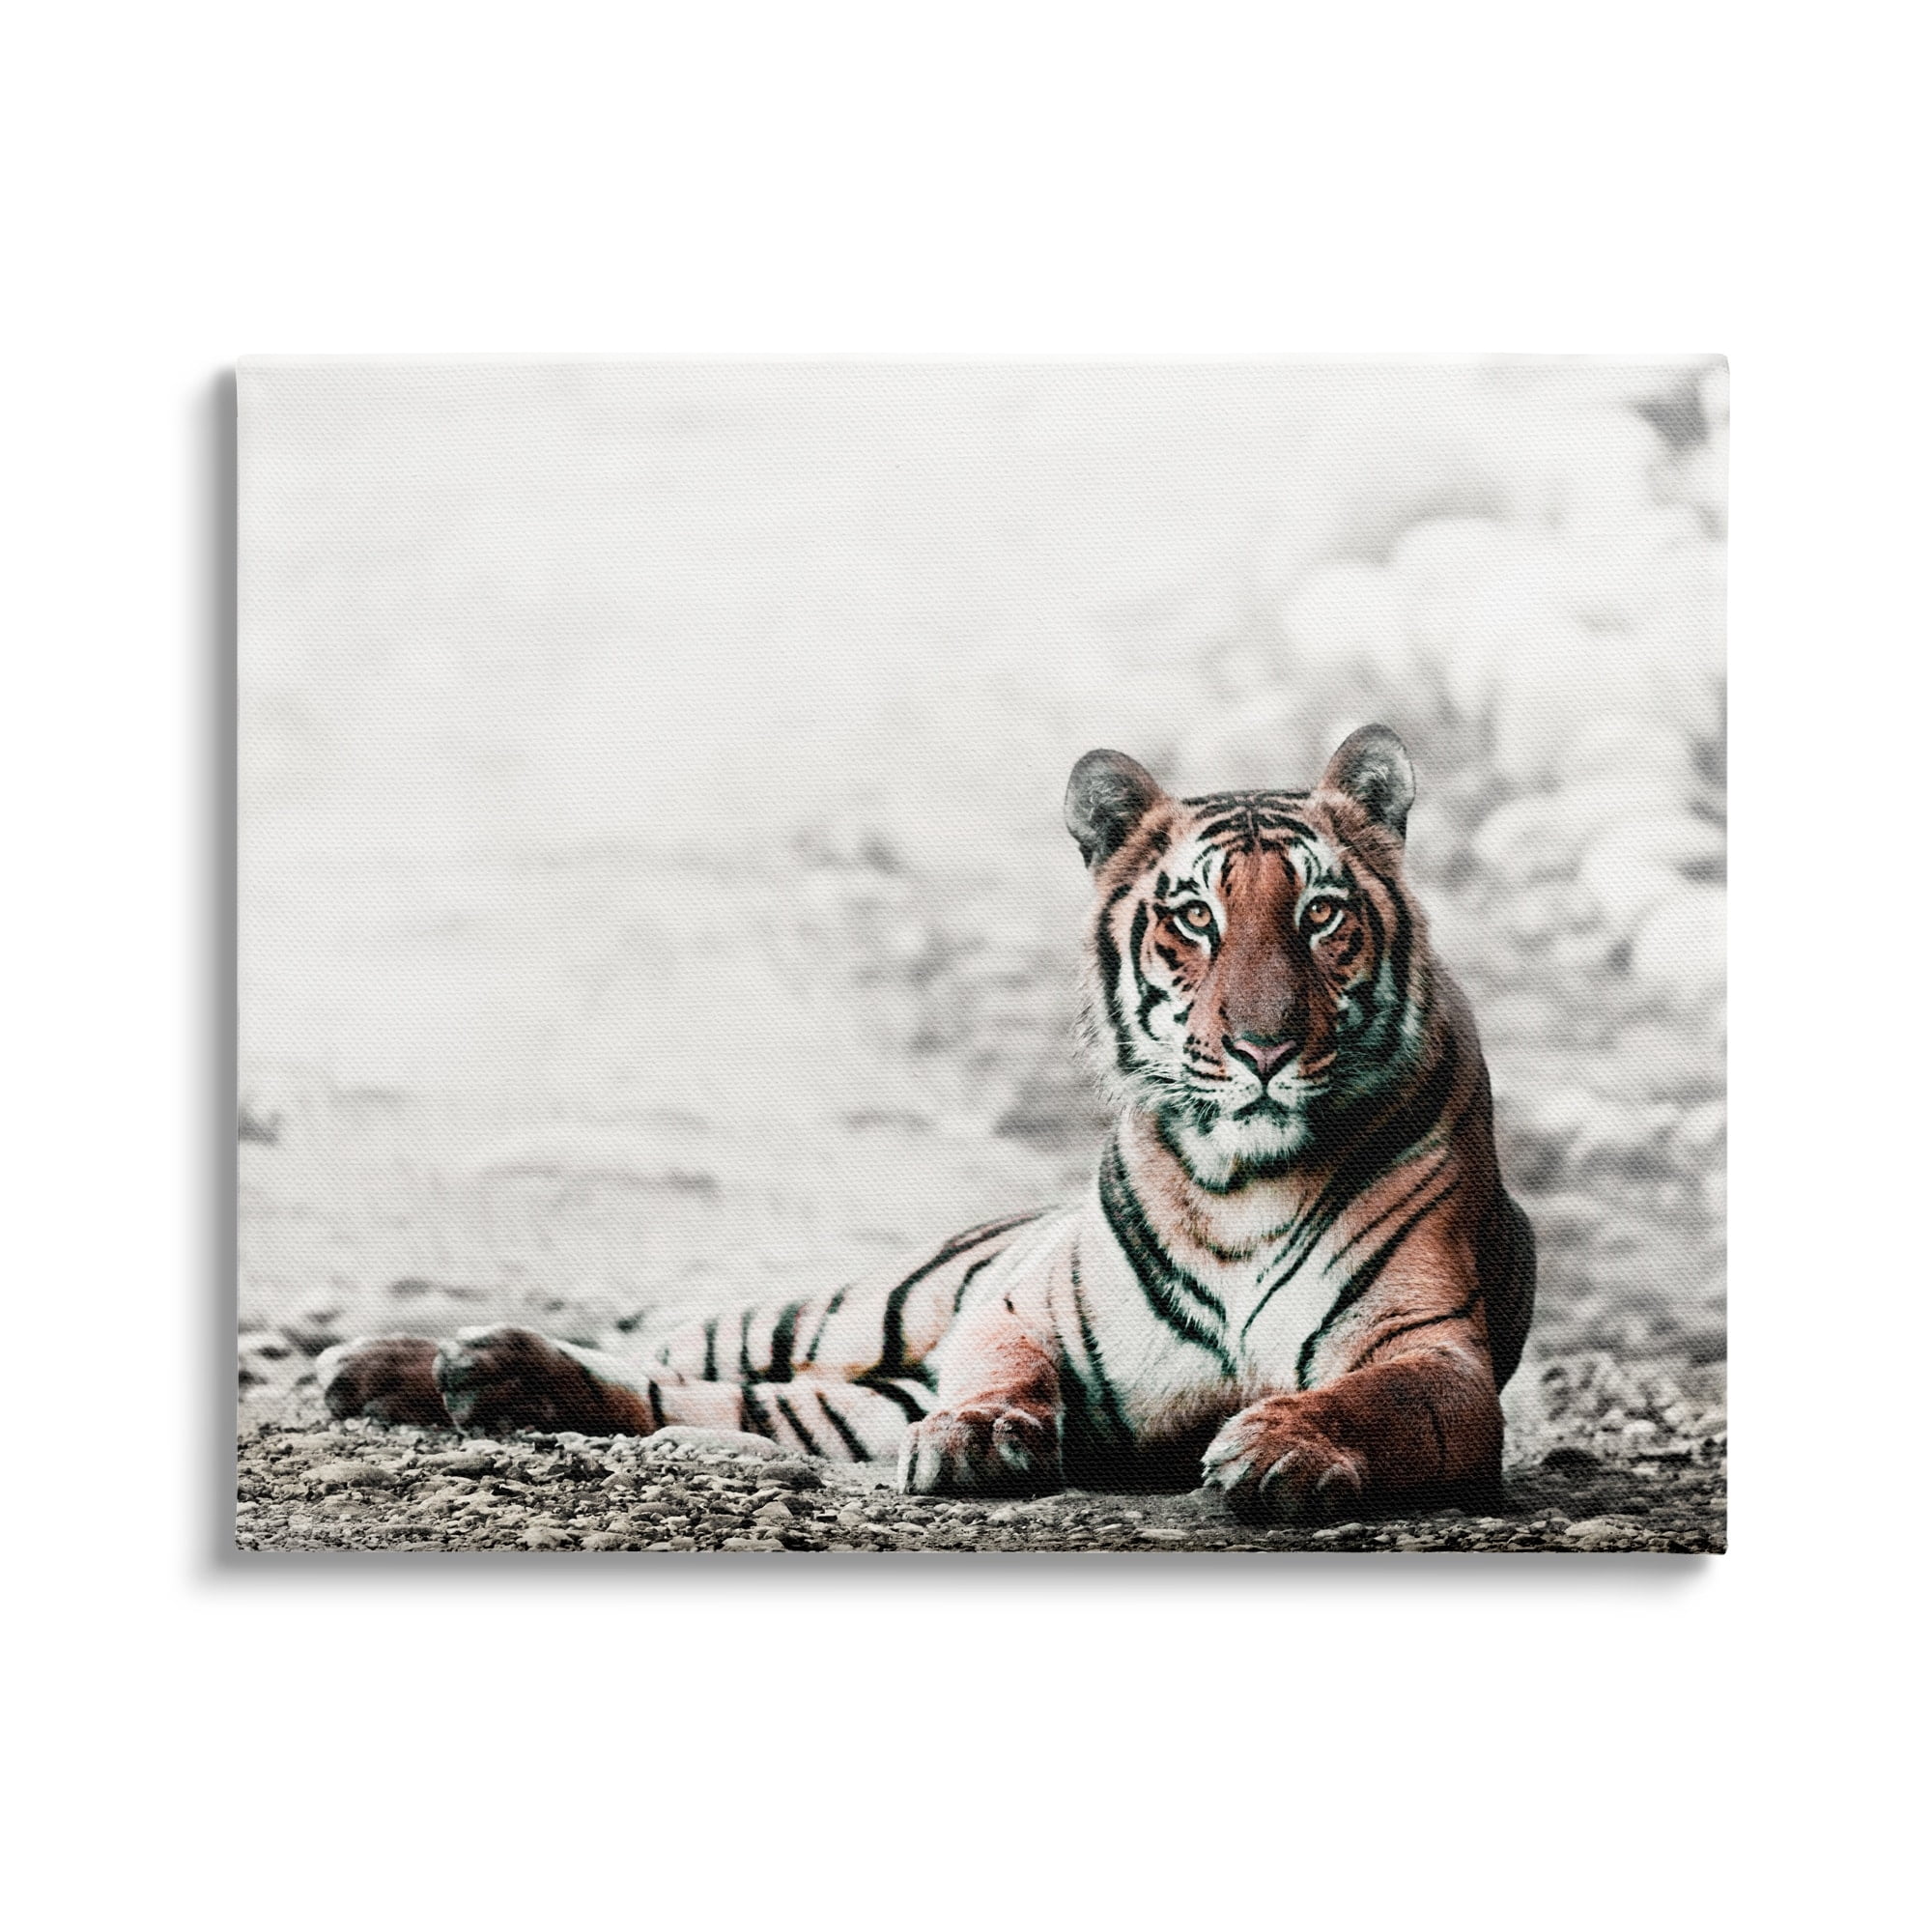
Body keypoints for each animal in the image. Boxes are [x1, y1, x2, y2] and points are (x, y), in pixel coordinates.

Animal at [319, 725, 1535, 1521]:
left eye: (1319, 913)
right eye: (1193, 916)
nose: (1263, 1048)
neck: (1240, 1176)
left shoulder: (1434, 1351)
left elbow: (1370, 1398)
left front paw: (1280, 1444)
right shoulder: (1009, 1305)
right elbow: (999, 1363)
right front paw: (982, 1434)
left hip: (844, 1392)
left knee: (705, 1401)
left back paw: (481, 1378)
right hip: (860, 1306)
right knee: (676, 1347)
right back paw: (402, 1363)